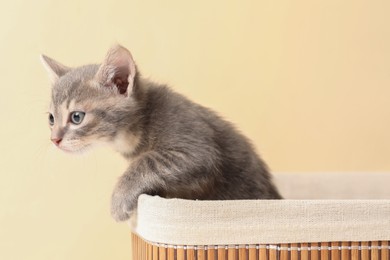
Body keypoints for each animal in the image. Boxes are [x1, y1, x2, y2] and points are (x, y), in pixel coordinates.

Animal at [41, 44, 282, 221]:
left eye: (76, 117)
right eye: (51, 119)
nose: (54, 140)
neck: (138, 127)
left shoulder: (195, 147)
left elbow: (147, 161)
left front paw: (119, 199)